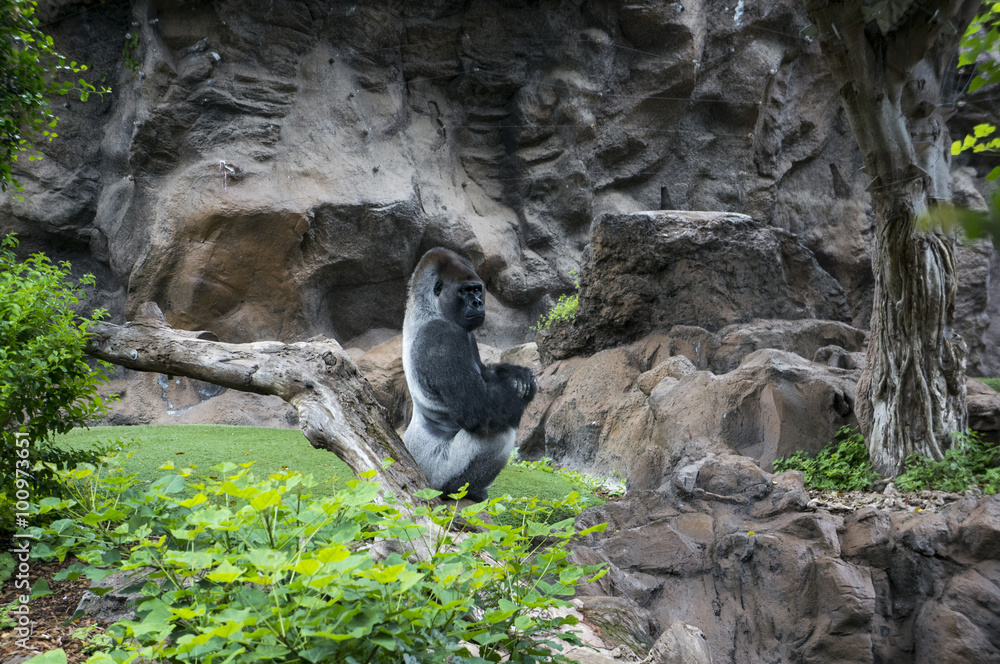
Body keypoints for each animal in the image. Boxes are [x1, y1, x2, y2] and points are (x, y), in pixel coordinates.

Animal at [401, 248, 537, 502]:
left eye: (476, 289)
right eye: (464, 291)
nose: (478, 302)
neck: (428, 307)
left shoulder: (466, 332)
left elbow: (486, 376)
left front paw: (516, 373)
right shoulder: (443, 336)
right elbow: (480, 409)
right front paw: (521, 387)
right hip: (434, 479)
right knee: (499, 433)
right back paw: (467, 491)